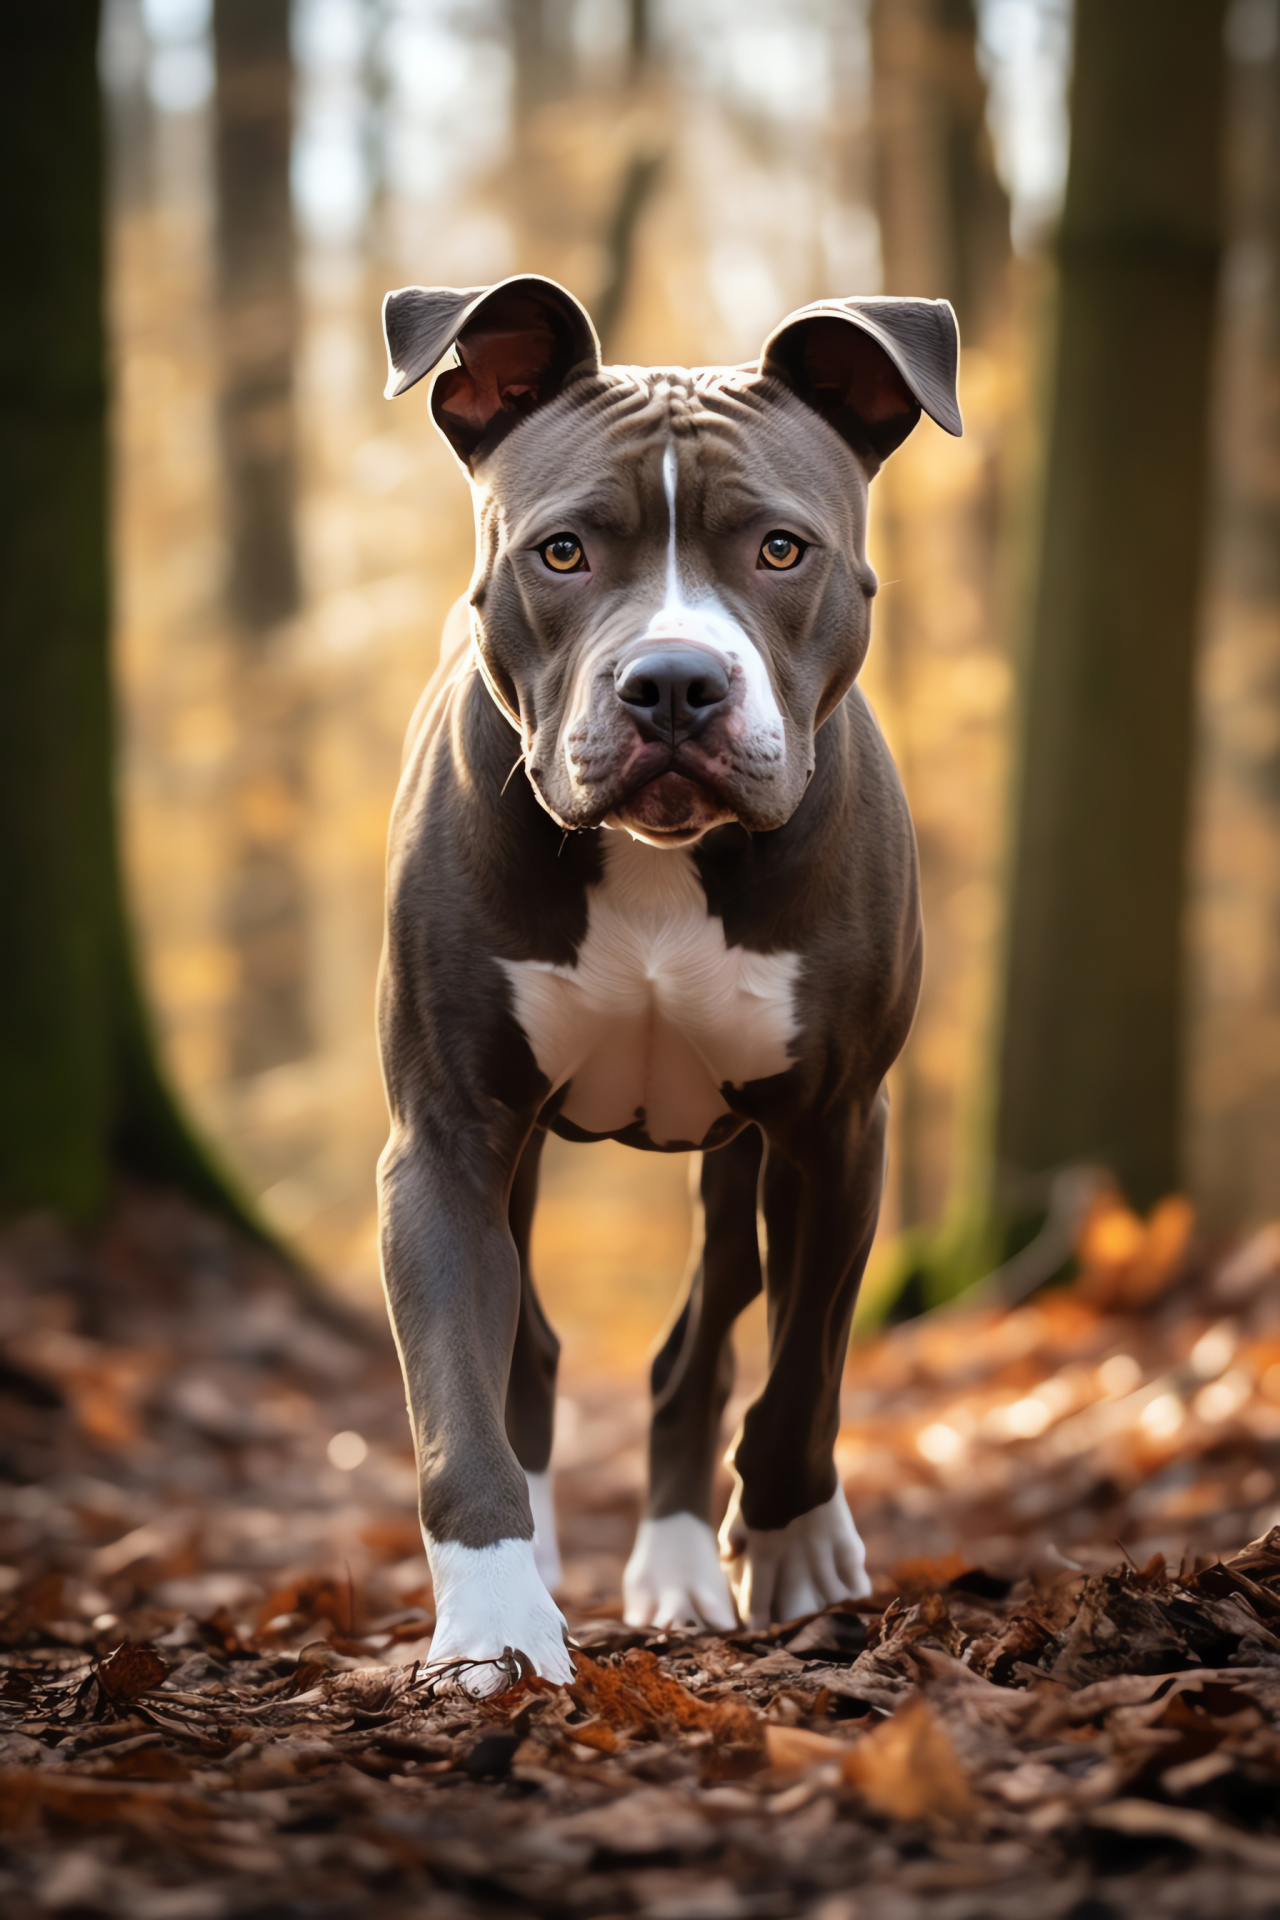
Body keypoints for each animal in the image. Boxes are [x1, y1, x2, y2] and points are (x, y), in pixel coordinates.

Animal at [378, 278, 959, 1689]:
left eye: (780, 550)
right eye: (563, 553)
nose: (674, 683)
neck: (657, 862)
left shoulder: (832, 1126)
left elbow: (803, 1368)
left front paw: (794, 1542)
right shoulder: (445, 1136)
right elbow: (457, 1404)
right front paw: (494, 1623)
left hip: (733, 1164)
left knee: (703, 1345)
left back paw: (693, 1567)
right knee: (533, 1353)